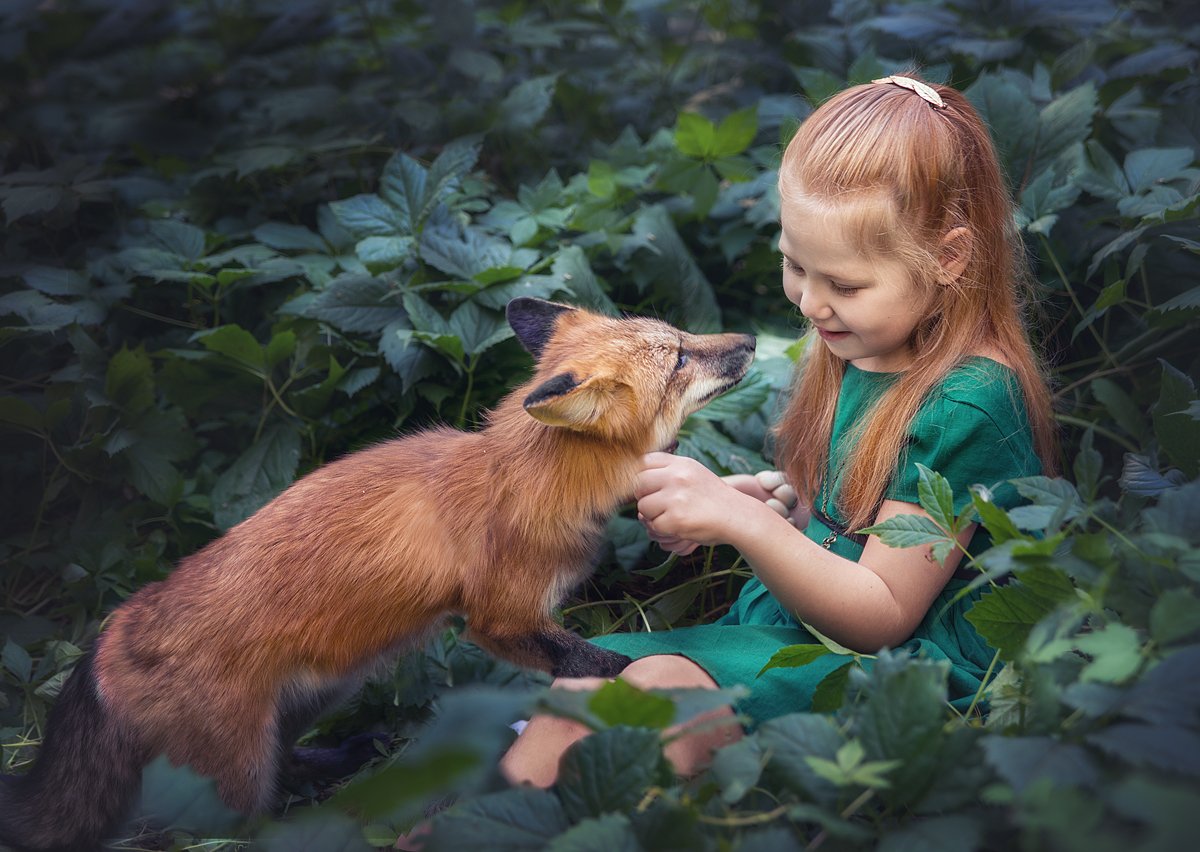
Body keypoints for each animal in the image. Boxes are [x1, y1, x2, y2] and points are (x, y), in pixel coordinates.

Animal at [0, 297, 753, 849]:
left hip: (314, 696)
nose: (750, 336)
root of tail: (111, 631)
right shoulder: (500, 618)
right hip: (236, 769)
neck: (531, 477)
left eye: (683, 335)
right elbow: (602, 663)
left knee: (285, 766)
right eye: (680, 357)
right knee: (234, 828)